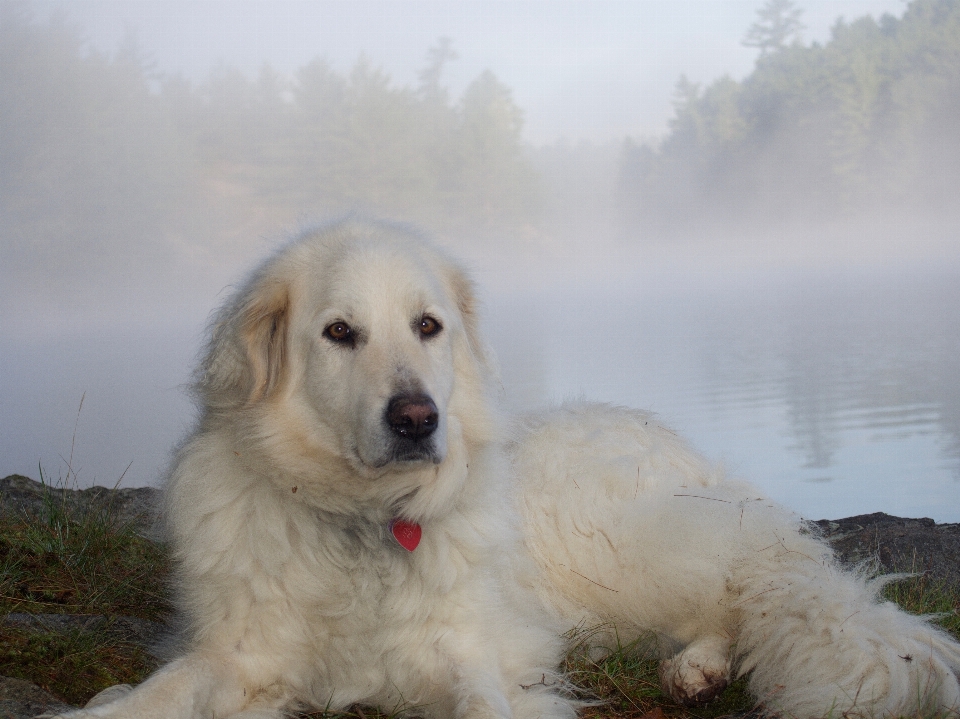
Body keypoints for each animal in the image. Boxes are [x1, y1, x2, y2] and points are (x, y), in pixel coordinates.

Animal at [45, 221, 960, 719]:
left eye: (428, 325)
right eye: (339, 332)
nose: (418, 418)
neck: (363, 524)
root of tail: (665, 433)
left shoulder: (467, 651)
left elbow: (486, 697)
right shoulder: (237, 653)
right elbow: (146, 697)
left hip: (640, 554)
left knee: (742, 587)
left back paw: (697, 663)